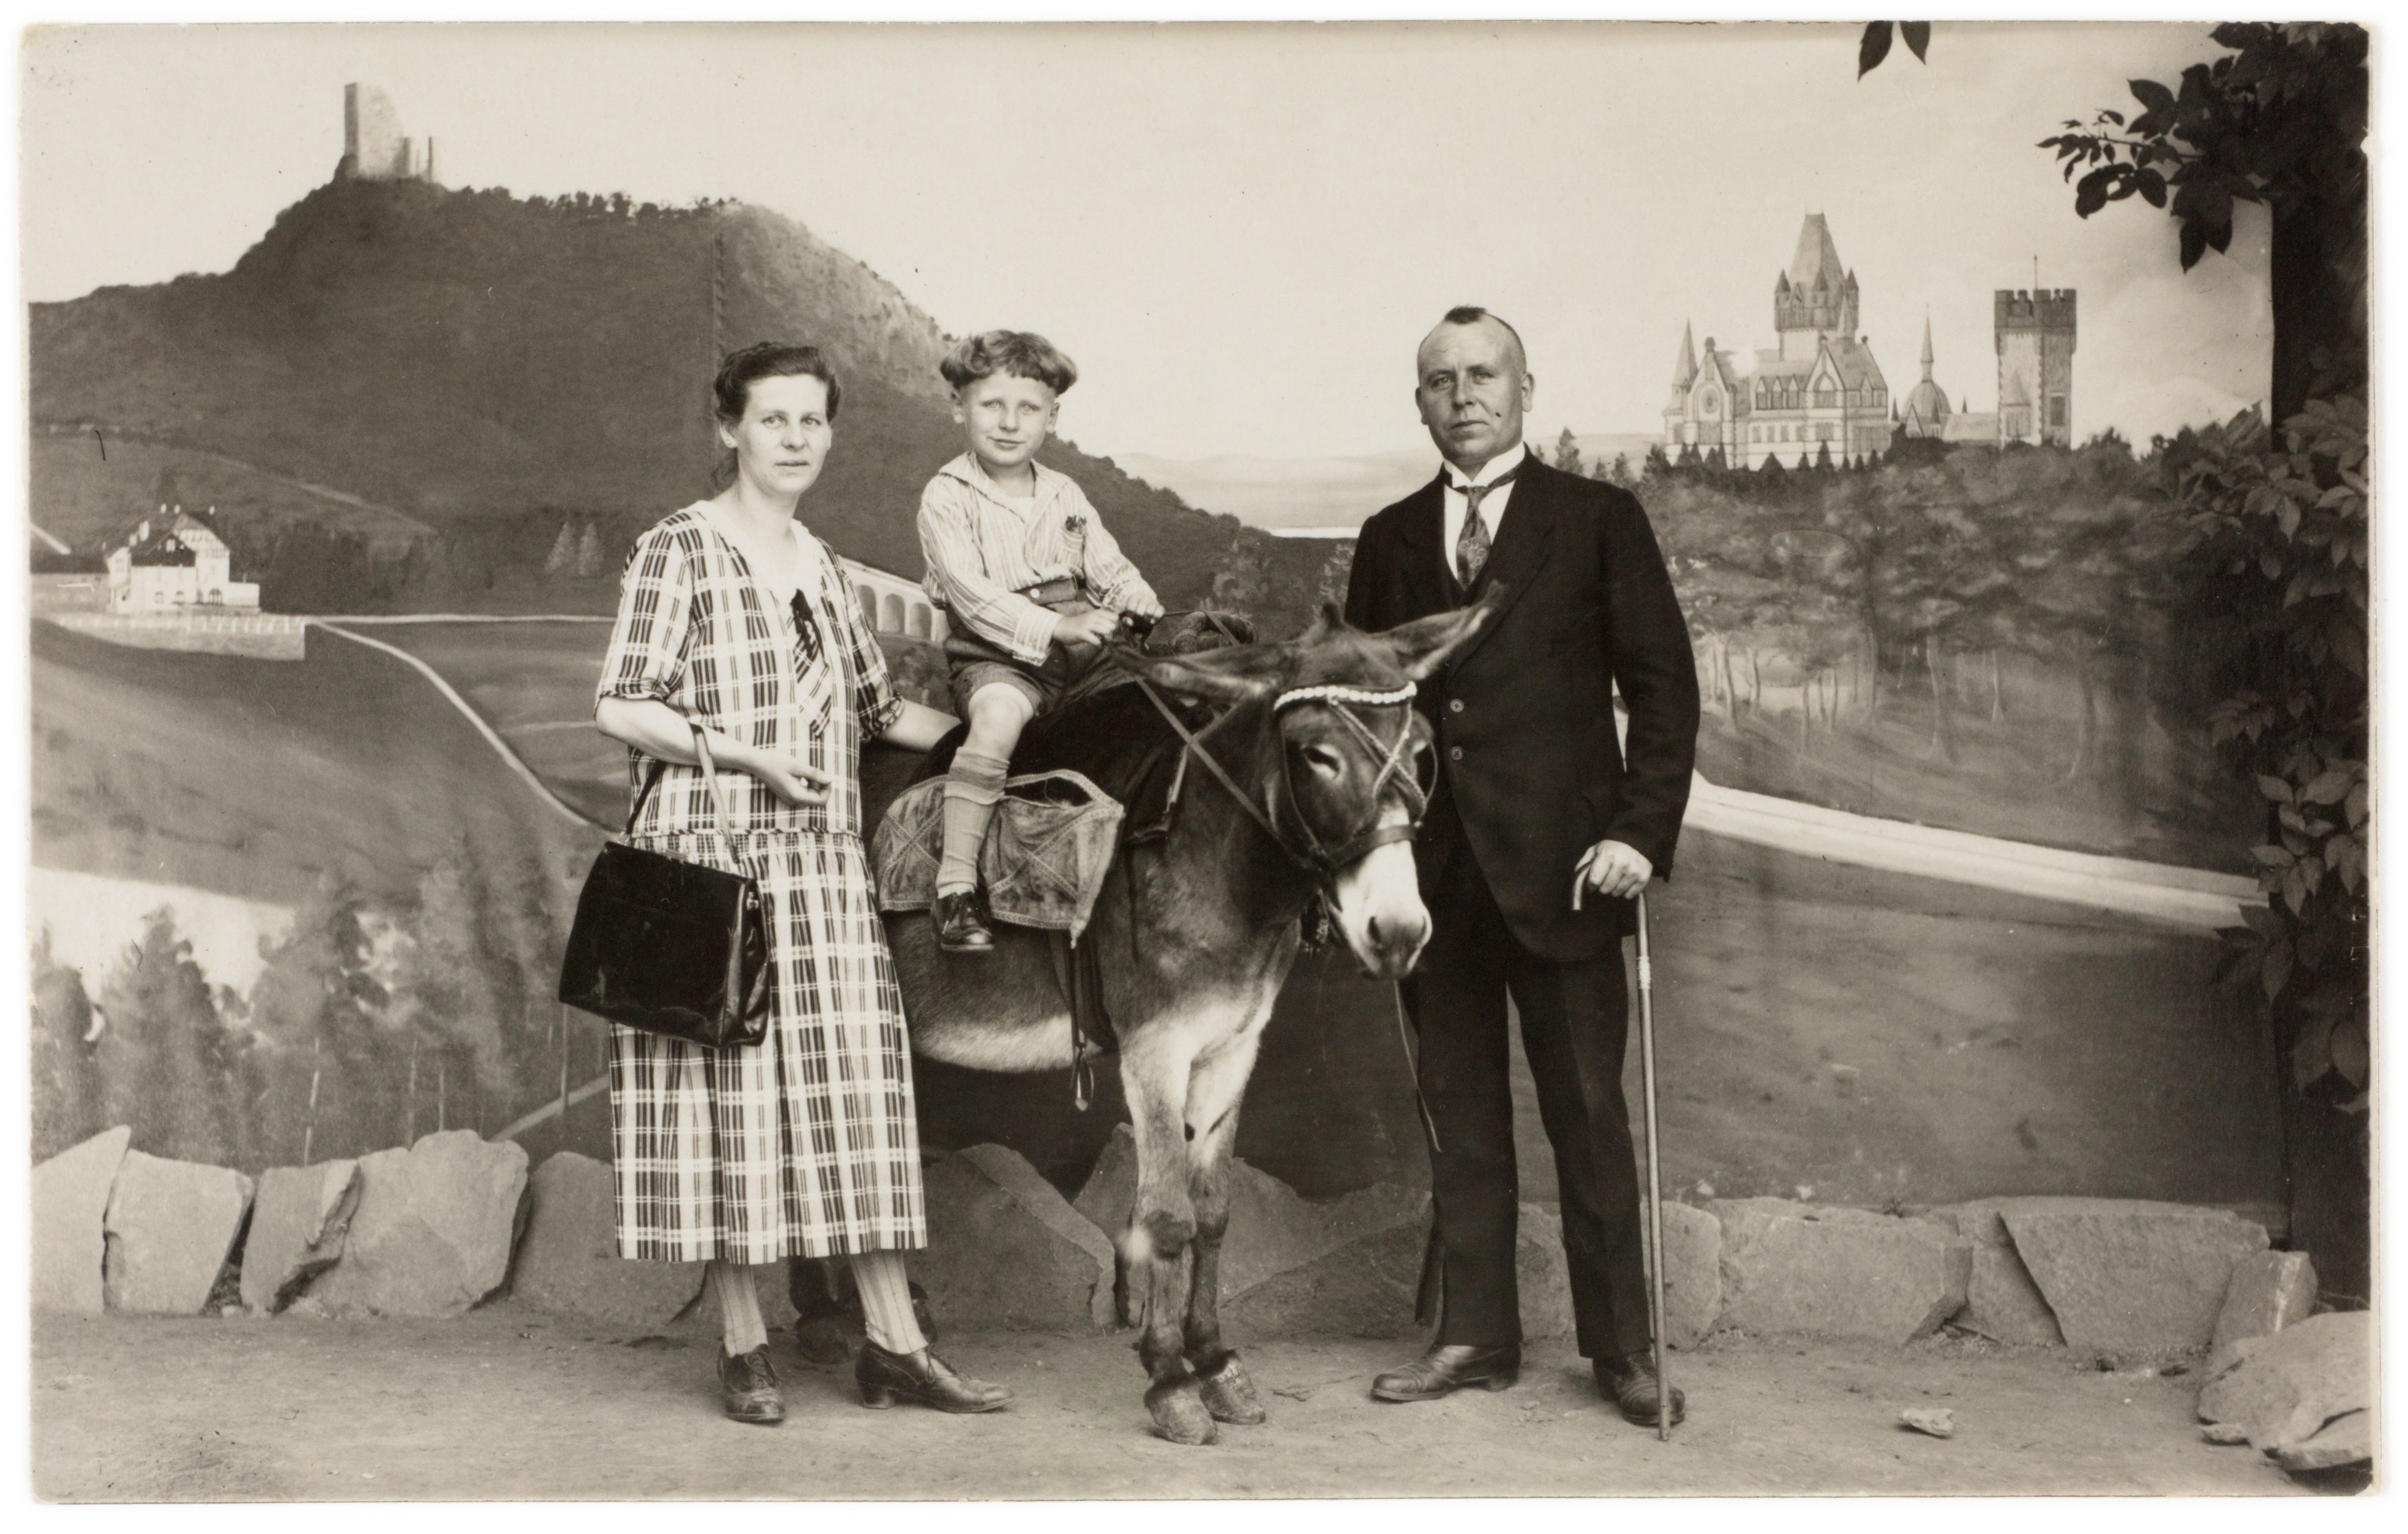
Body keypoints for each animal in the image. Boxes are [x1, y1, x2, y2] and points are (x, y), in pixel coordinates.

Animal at [874, 599, 1490, 1444]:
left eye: (1424, 754)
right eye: (1316, 755)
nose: (1397, 932)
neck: (1211, 858)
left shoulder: (1232, 1047)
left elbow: (1215, 1213)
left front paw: (1215, 1362)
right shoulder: (1154, 1050)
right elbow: (1166, 1217)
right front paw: (1169, 1379)